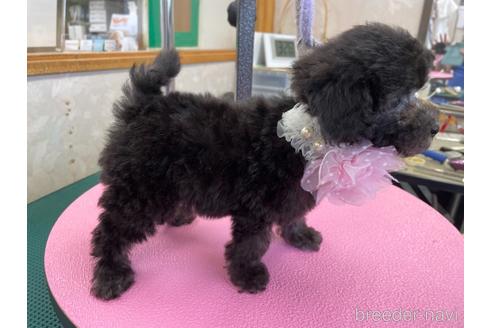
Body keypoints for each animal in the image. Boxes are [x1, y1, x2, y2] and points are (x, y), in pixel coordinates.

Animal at [90, 23, 436, 300]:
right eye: (399, 100)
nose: (434, 127)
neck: (307, 136)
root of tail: (144, 105)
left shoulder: (293, 193)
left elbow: (294, 214)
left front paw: (299, 235)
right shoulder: (255, 207)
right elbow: (251, 244)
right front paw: (247, 274)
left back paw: (179, 215)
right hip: (141, 189)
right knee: (112, 230)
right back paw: (111, 274)